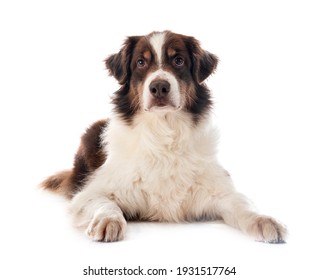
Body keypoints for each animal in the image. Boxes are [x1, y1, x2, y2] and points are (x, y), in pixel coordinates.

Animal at [41, 30, 286, 243]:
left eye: (178, 60)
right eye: (140, 62)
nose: (159, 87)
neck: (164, 132)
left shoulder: (219, 190)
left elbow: (243, 204)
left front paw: (264, 220)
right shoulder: (90, 193)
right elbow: (105, 205)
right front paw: (108, 221)